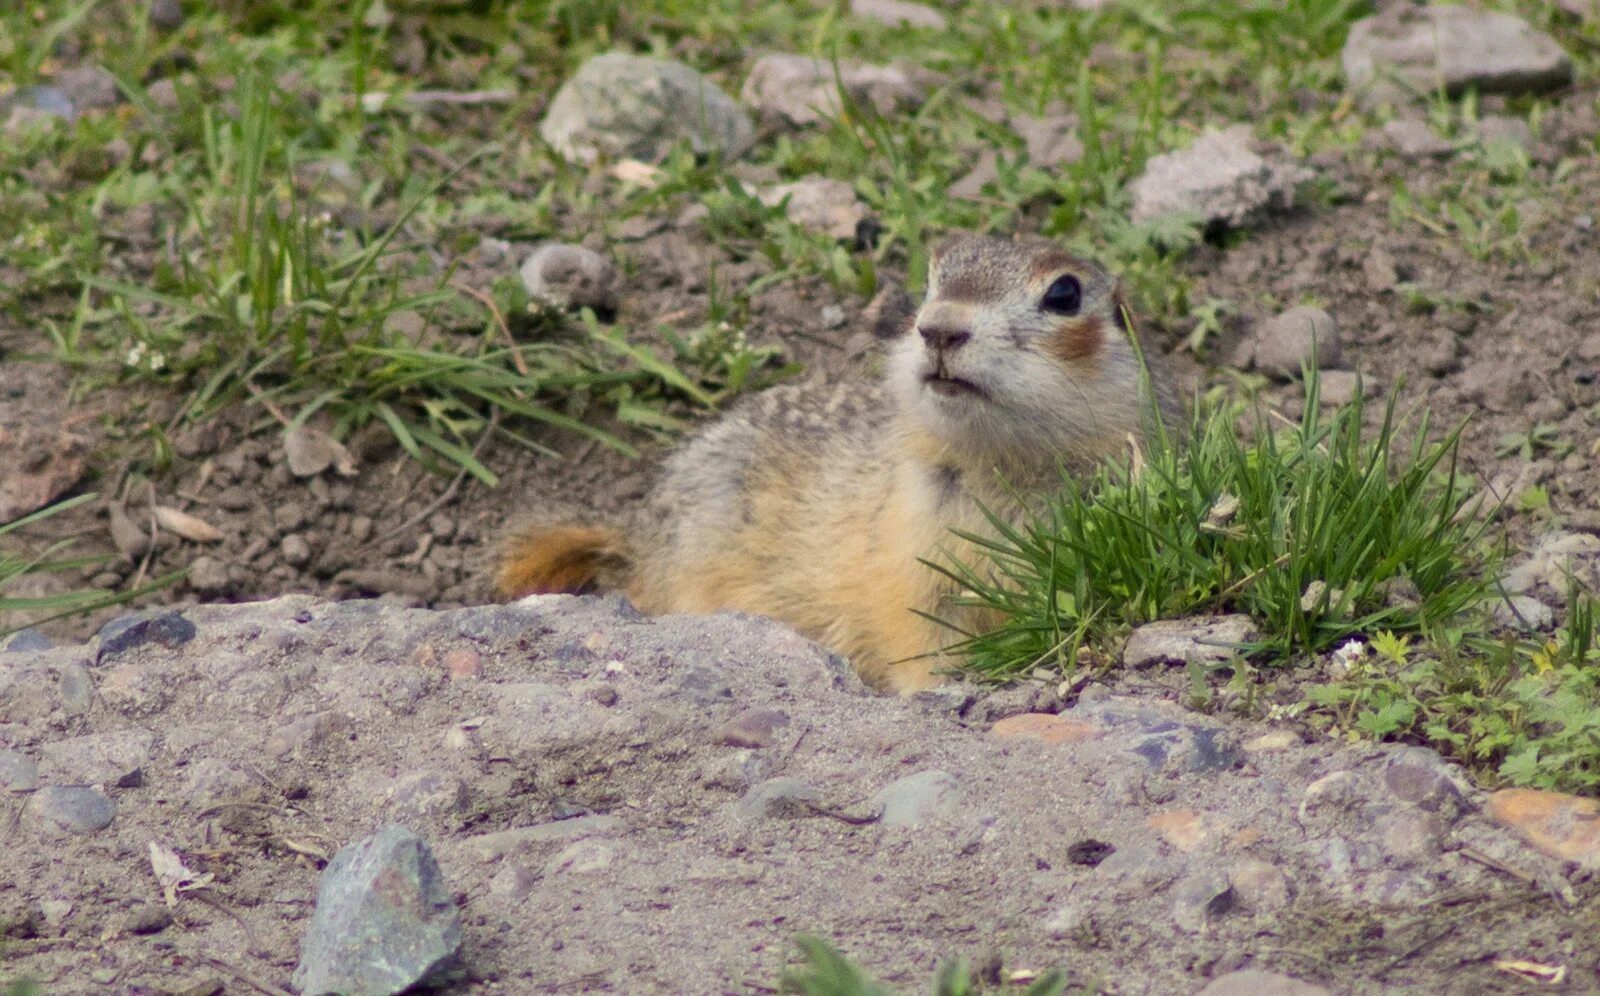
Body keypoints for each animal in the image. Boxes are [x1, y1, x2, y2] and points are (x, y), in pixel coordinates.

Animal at [492, 236, 1184, 694]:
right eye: (931, 281)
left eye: (1064, 292)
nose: (938, 329)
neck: (1003, 464)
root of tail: (635, 535)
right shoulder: (914, 561)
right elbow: (919, 637)